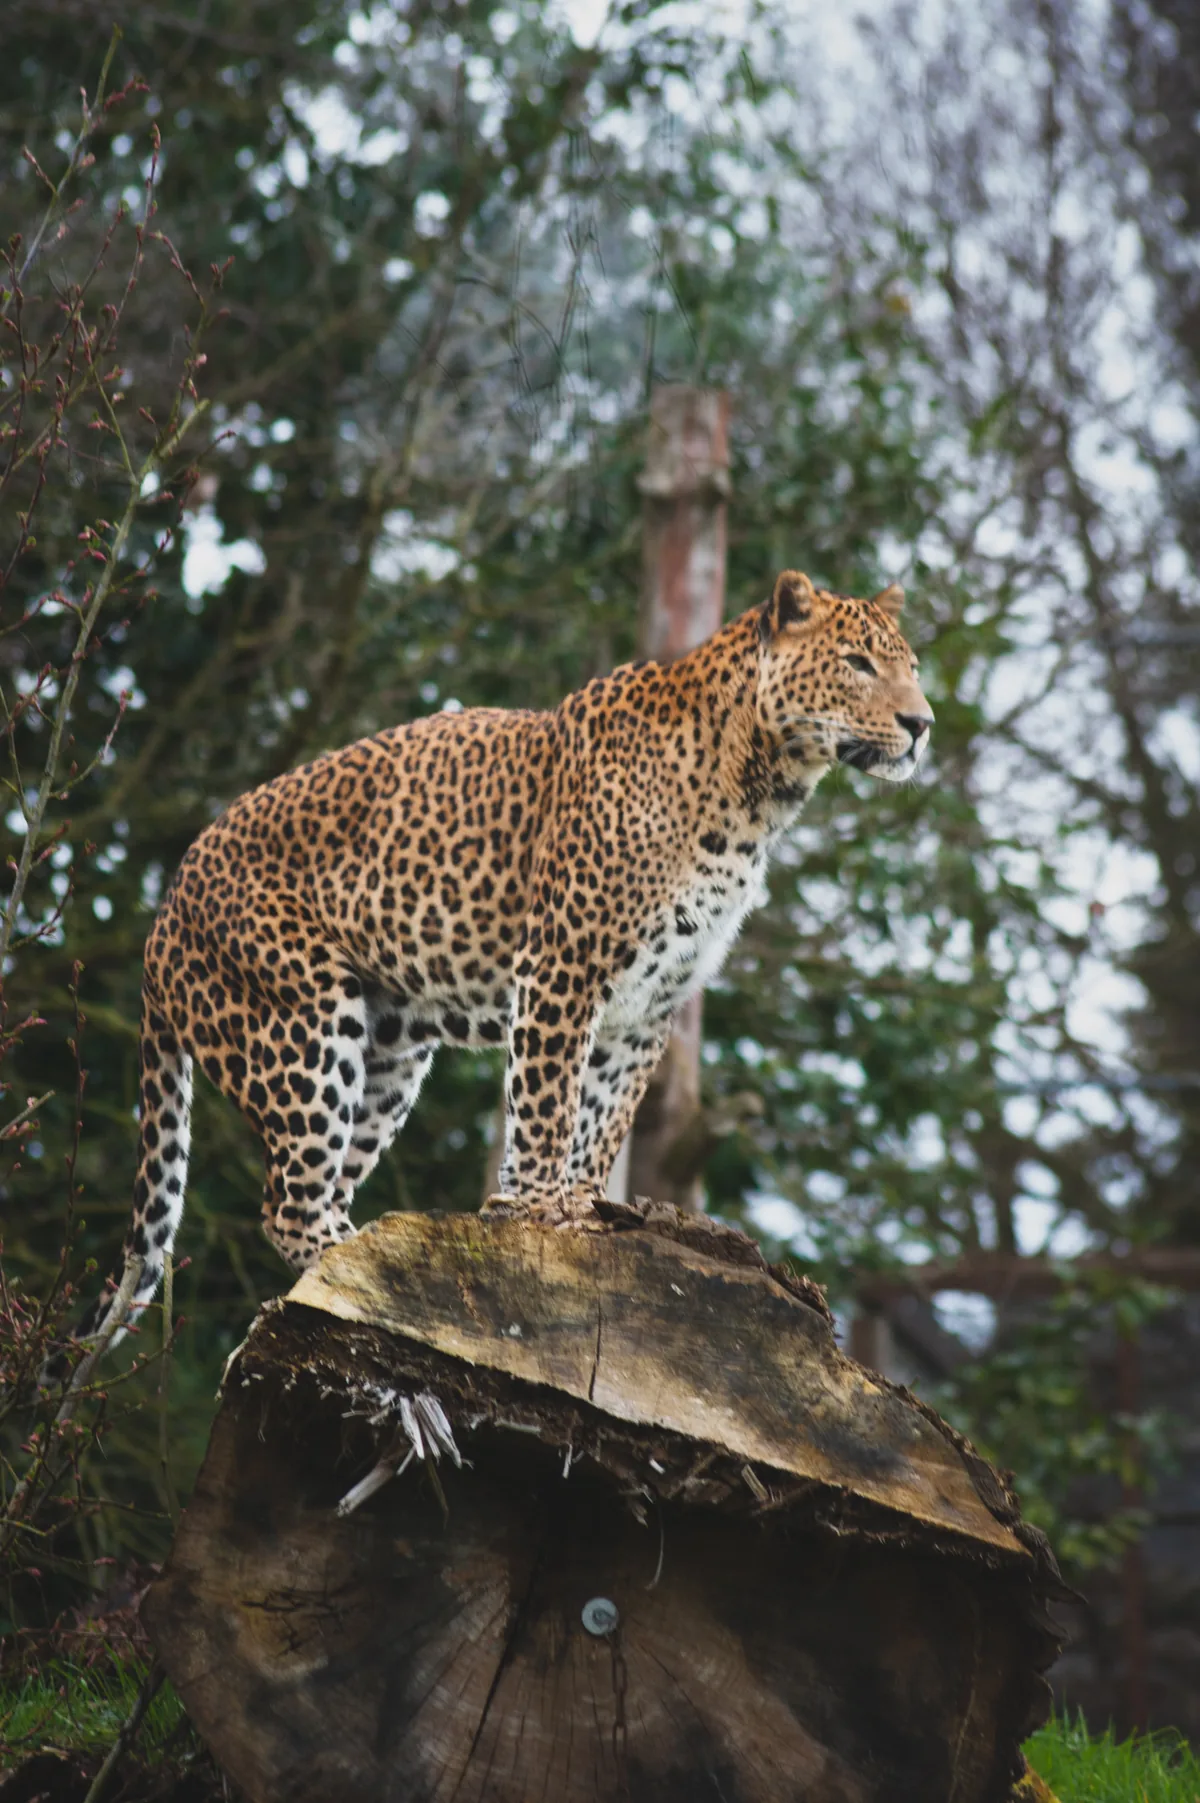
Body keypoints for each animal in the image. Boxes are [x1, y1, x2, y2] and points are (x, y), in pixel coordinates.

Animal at [70, 569, 932, 1355]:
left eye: (912, 665)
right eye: (857, 662)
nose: (923, 723)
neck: (759, 791)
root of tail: (161, 917)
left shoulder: (651, 1005)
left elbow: (603, 1118)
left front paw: (580, 1208)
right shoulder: (562, 966)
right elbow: (547, 1107)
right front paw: (543, 1214)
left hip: (389, 1055)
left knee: (323, 1187)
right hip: (302, 1027)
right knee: (289, 1202)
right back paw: (376, 1284)